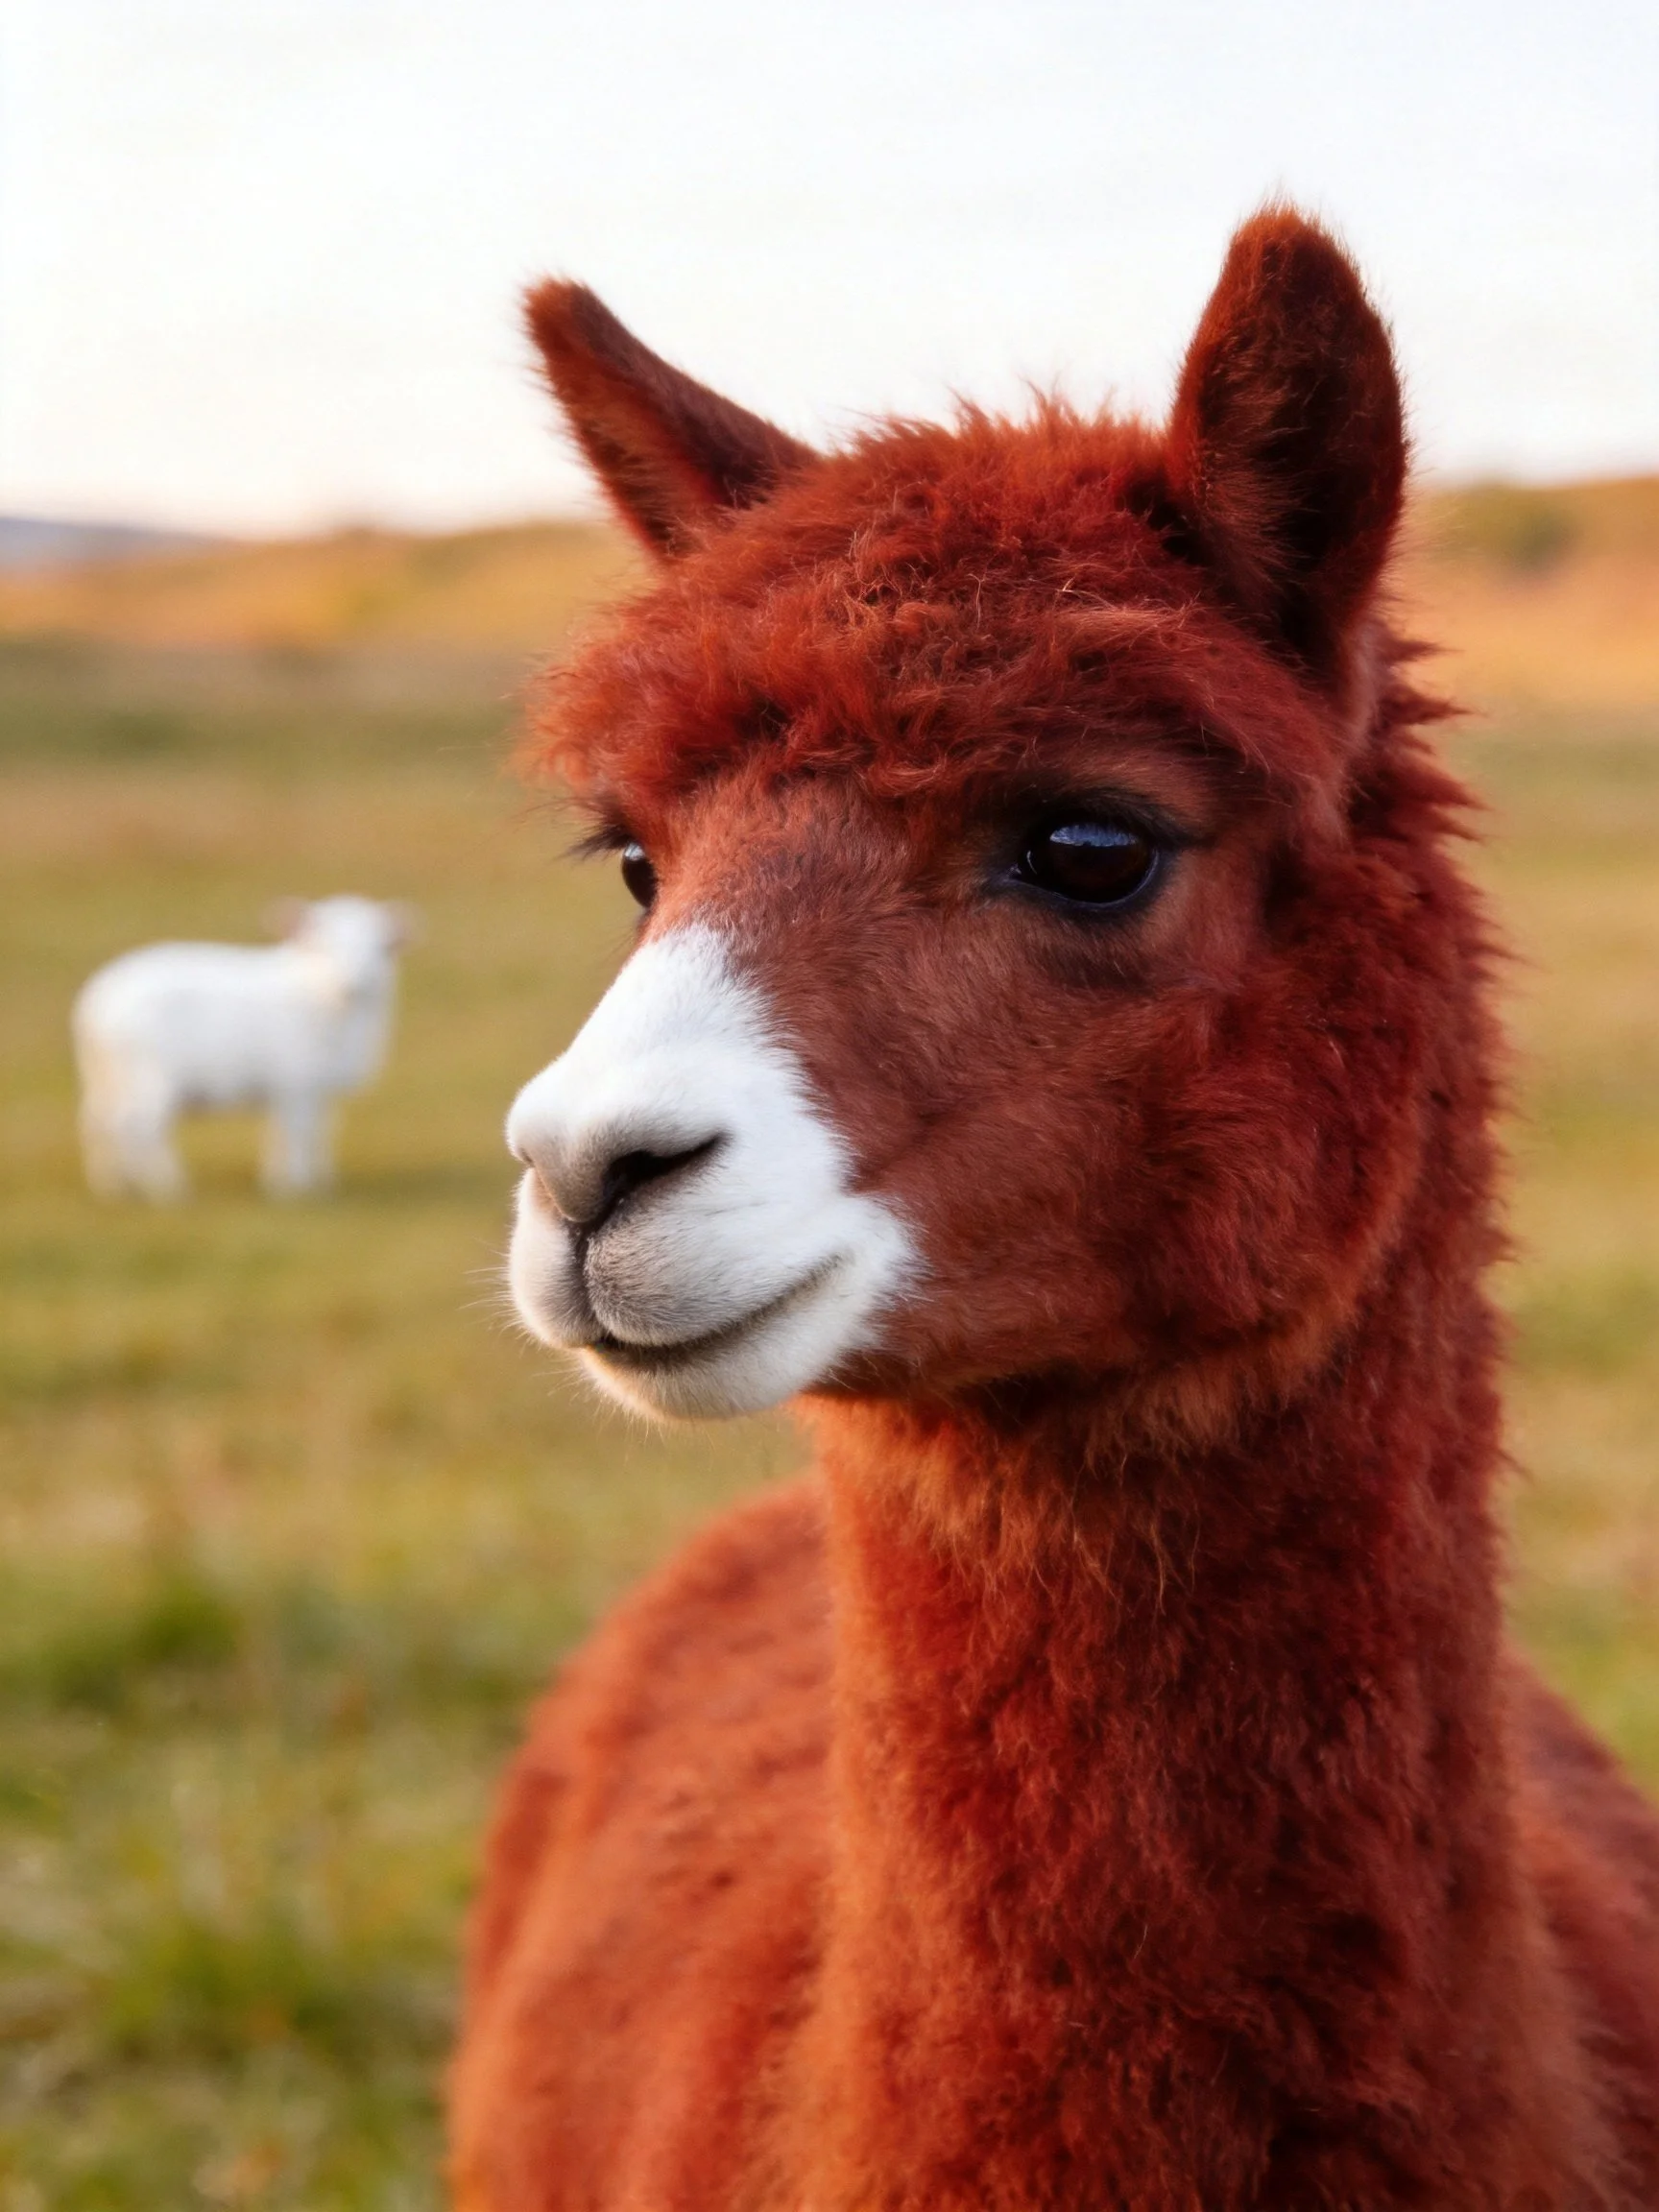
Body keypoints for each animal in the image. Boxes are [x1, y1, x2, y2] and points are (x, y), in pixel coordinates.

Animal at [72, 896, 413, 1199]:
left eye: (381, 948)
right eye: (320, 946)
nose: (355, 985)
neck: (319, 994)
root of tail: (96, 1004)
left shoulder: (314, 1089)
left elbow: (316, 1132)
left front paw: (313, 1181)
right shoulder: (295, 1081)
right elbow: (298, 1132)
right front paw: (296, 1189)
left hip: (104, 1076)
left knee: (96, 1121)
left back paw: (110, 1185)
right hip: (150, 1076)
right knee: (138, 1127)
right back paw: (167, 1188)